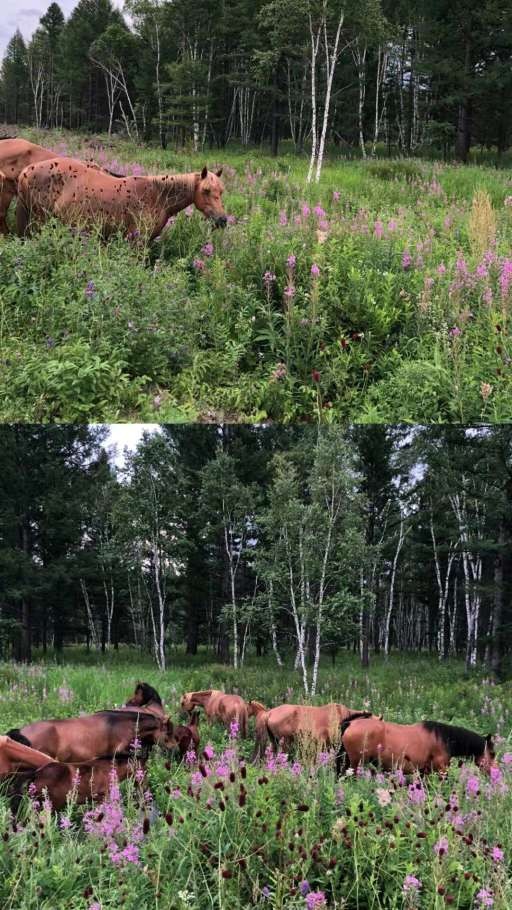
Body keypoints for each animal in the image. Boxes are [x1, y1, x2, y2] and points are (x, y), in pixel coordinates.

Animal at [17, 159, 227, 240]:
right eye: (206, 190)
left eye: (222, 191)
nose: (222, 220)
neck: (157, 196)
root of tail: (25, 171)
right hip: (39, 221)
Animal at [336, 716, 496, 780]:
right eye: (493, 754)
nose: (495, 773)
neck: (443, 739)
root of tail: (350, 724)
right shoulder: (442, 770)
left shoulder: (424, 772)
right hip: (355, 764)